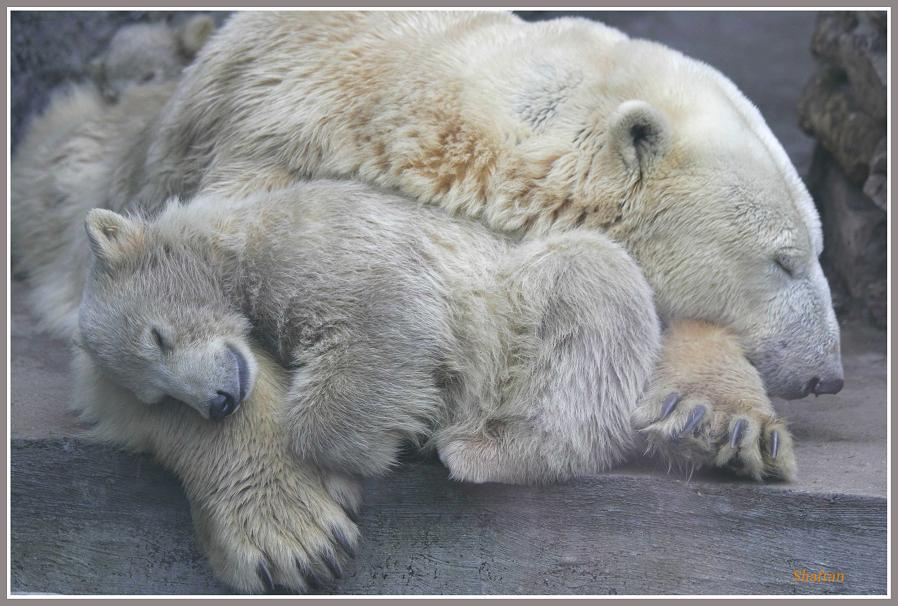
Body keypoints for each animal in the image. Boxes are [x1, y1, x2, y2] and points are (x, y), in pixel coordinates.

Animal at [74, 179, 795, 592]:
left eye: (157, 337)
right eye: (154, 395)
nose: (219, 402)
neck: (234, 236)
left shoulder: (317, 241)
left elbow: (387, 316)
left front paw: (345, 459)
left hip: (537, 303)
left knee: (582, 293)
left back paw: (482, 450)